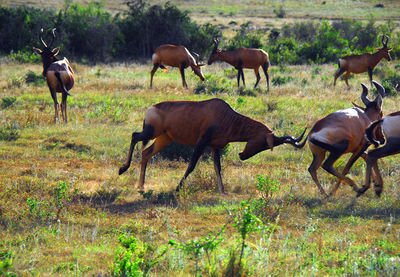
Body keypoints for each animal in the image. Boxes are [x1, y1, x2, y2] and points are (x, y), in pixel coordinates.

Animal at [119, 98, 306, 193]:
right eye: (264, 144)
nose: (242, 156)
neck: (225, 114)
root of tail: (151, 108)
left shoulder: (214, 146)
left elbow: (218, 168)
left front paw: (222, 191)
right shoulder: (201, 142)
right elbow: (191, 165)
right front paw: (177, 188)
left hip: (164, 138)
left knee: (146, 153)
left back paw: (141, 186)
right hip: (151, 132)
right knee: (135, 136)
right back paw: (122, 169)